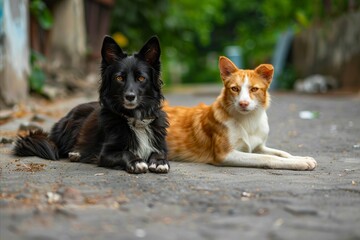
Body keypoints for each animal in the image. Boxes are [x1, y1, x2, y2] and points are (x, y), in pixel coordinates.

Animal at [13, 35, 170, 173]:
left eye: (141, 78)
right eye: (119, 78)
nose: (130, 97)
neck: (134, 119)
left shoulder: (160, 146)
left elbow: (159, 153)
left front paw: (160, 162)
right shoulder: (106, 153)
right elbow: (126, 153)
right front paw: (136, 162)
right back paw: (76, 153)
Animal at [165, 56, 316, 170]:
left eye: (254, 89)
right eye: (235, 89)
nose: (243, 103)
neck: (248, 119)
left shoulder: (259, 147)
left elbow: (282, 153)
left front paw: (301, 158)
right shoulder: (225, 155)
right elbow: (268, 157)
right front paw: (300, 162)